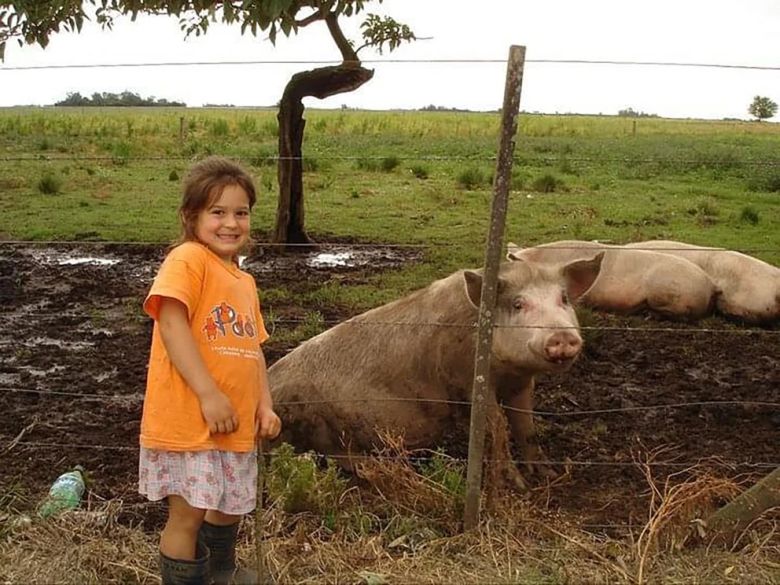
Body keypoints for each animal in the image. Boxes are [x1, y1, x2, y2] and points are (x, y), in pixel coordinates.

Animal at [268, 253, 604, 486]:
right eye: (518, 304)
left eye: (563, 299)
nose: (561, 336)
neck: (506, 372)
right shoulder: (466, 381)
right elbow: (496, 428)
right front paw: (517, 485)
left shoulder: (521, 382)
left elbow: (526, 426)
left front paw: (548, 474)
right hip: (314, 422)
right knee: (334, 455)